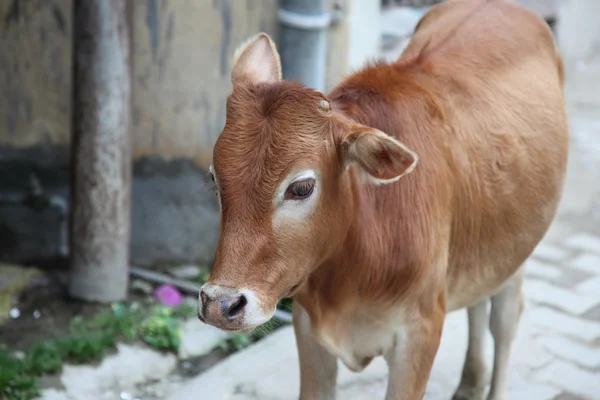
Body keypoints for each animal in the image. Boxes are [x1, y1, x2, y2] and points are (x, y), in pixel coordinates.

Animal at [198, 0, 568, 398]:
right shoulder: (308, 329)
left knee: (504, 319)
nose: (220, 304)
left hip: (517, 248)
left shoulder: (420, 333)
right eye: (214, 178)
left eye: (301, 187)